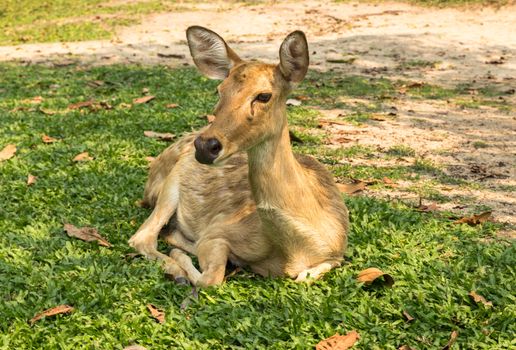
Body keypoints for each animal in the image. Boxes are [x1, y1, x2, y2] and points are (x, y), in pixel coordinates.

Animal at [127, 26, 348, 286]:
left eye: (264, 95)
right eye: (219, 90)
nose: (205, 146)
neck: (293, 251)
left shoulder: (337, 253)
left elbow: (306, 276)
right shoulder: (218, 231)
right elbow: (210, 278)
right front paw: (184, 260)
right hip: (170, 184)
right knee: (143, 237)